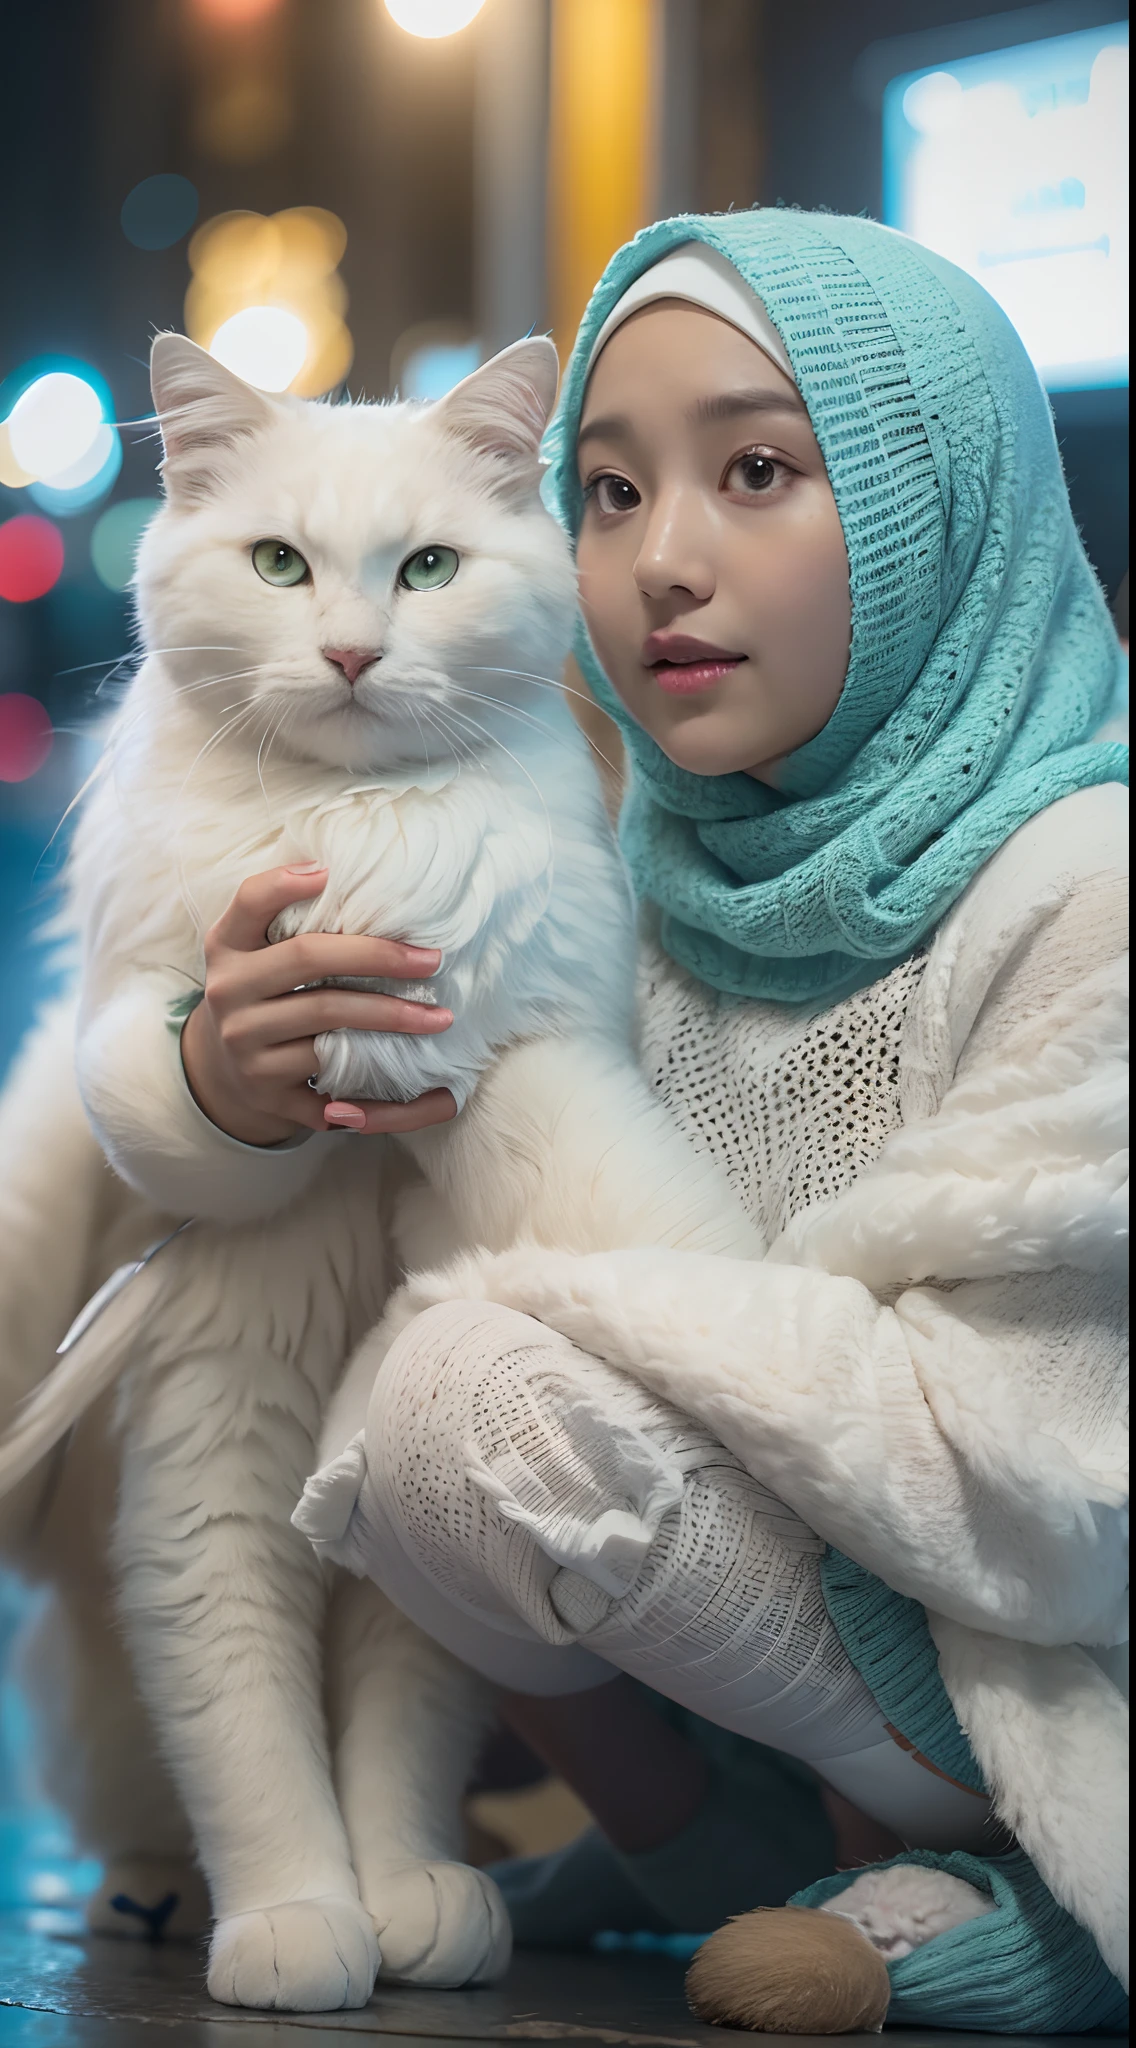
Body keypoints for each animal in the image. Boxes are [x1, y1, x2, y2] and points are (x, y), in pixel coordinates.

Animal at [2, 335, 765, 2015]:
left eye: (426, 571)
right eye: (281, 566)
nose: (352, 655)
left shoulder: (383, 1508)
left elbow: (392, 1742)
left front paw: (410, 1898)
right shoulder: (212, 1442)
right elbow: (246, 1731)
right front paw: (293, 1924)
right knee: (134, 1802)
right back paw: (156, 1901)